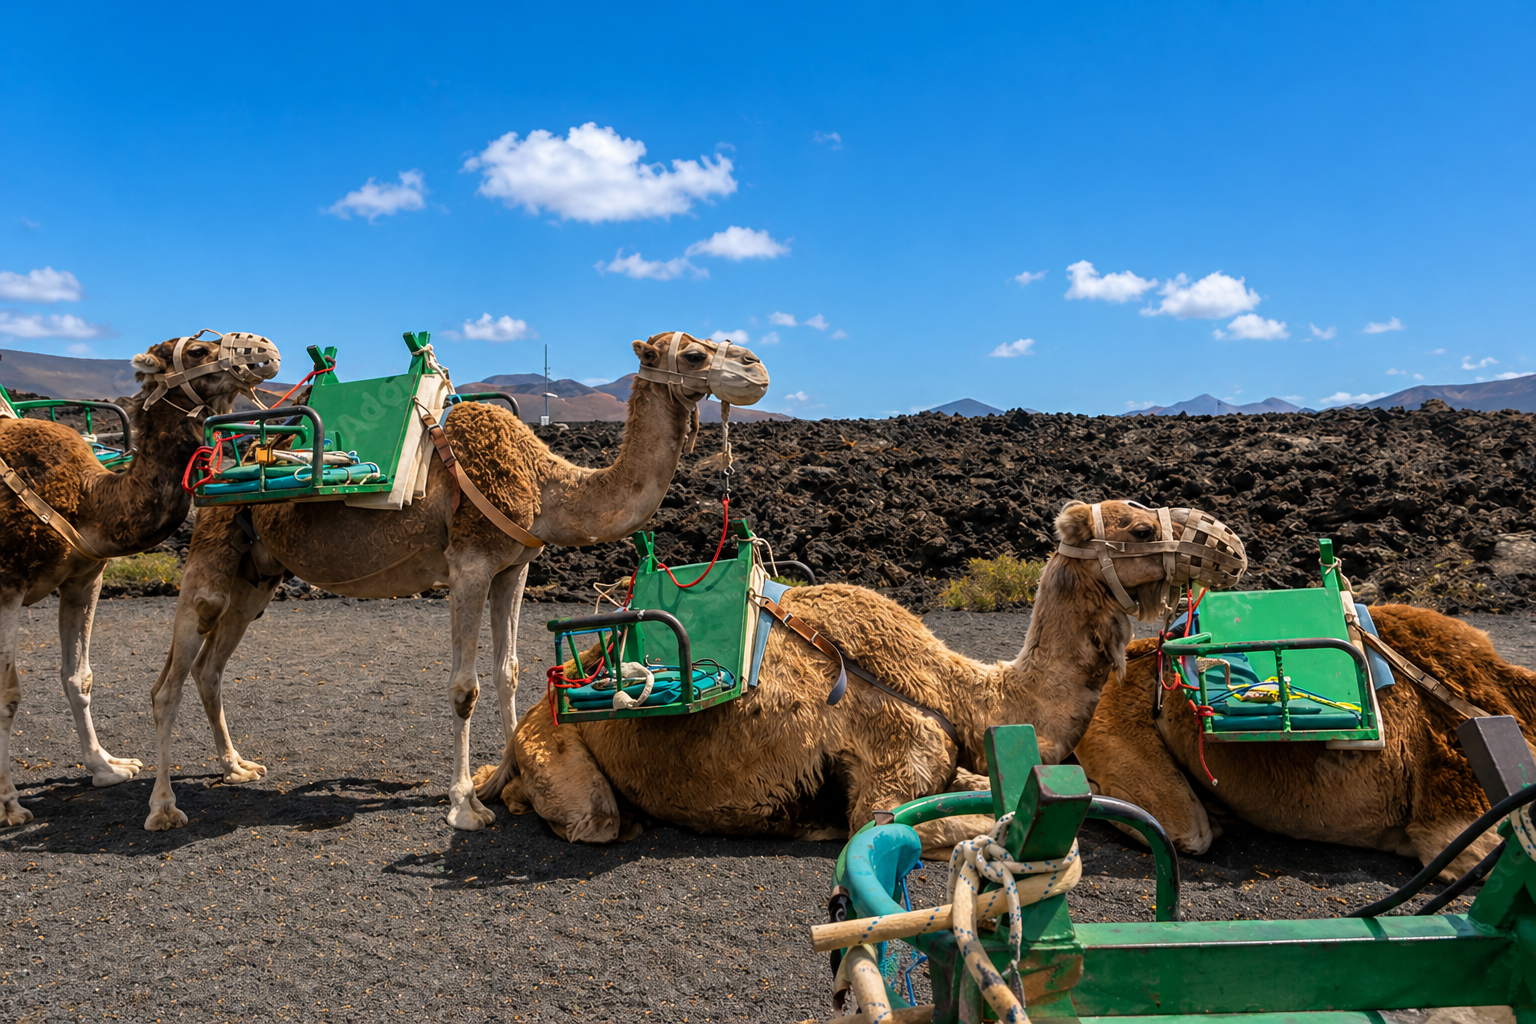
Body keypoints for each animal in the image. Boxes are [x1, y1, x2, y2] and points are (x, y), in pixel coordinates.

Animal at [0, 332, 280, 825]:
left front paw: (107, 767)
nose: (266, 350)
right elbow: (8, 694)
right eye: (198, 351)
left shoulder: (83, 578)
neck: (87, 498)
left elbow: (79, 676)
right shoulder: (9, 583)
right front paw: (10, 803)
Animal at [143, 332, 770, 833]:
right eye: (694, 354)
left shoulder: (513, 567)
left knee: (210, 667)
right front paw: (466, 804)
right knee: (168, 681)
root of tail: (222, 462)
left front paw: (512, 781)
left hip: (258, 577)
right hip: (212, 553)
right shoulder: (468, 565)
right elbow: (464, 688)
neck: (546, 484)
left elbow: (509, 672)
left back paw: (236, 766)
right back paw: (164, 807)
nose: (757, 368)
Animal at [480, 500, 1247, 855]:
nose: (1230, 544)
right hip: (562, 753)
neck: (957, 694)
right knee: (591, 816)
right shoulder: (888, 770)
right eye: (1139, 529)